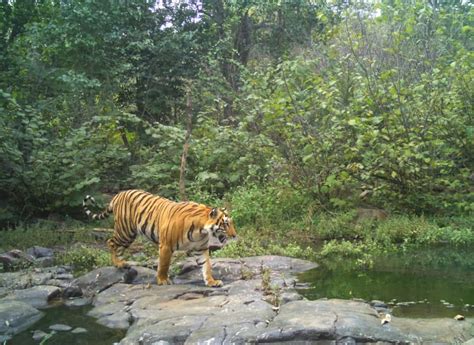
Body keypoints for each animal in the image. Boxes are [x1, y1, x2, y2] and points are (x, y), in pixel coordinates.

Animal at [83, 189, 237, 286]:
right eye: (226, 224)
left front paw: (212, 282)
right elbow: (163, 265)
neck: (201, 231)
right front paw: (163, 280)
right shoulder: (166, 246)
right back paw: (117, 263)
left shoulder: (201, 248)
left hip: (129, 235)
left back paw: (122, 263)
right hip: (125, 231)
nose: (235, 235)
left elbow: (206, 266)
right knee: (111, 242)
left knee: (119, 247)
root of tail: (118, 195)